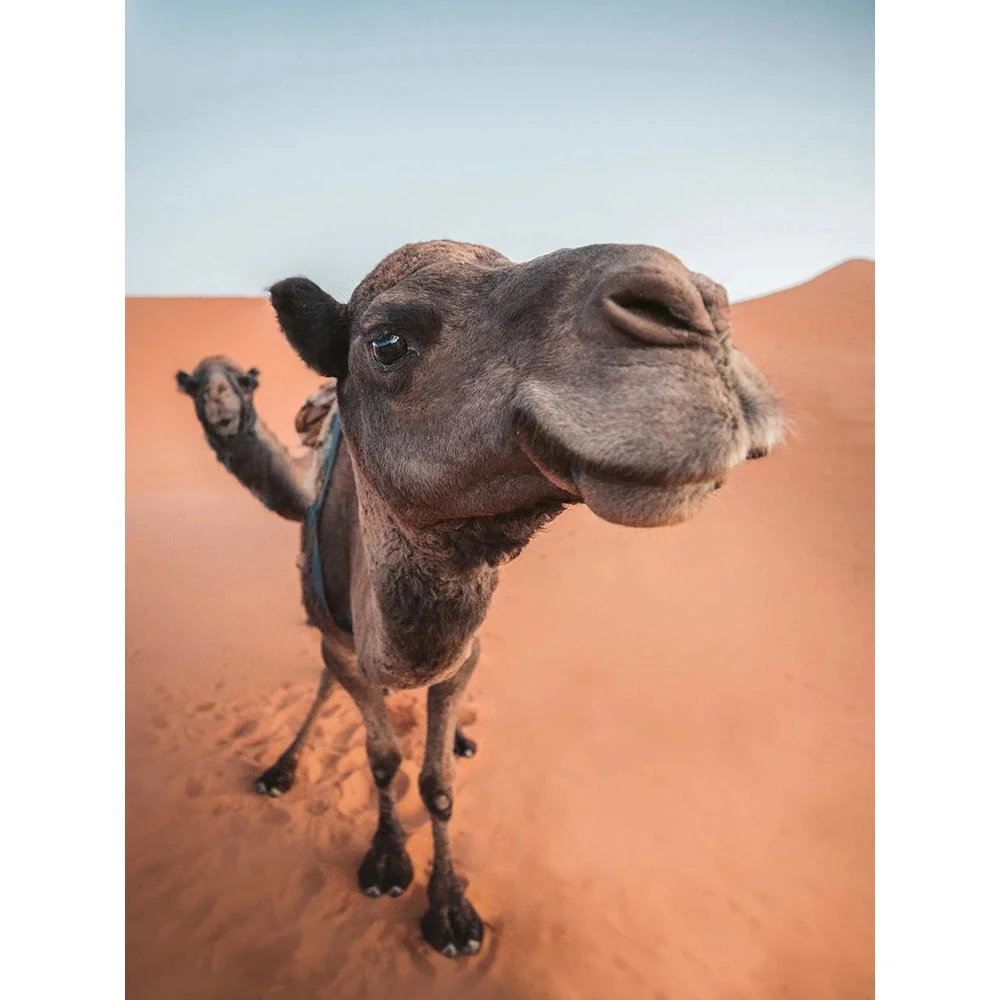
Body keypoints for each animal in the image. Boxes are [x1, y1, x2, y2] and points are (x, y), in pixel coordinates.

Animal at [175, 239, 784, 957]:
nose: (698, 310)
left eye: (241, 385)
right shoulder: (344, 644)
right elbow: (381, 759)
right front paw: (386, 860)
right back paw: (282, 767)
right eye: (387, 342)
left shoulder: (460, 654)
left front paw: (451, 911)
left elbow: (438, 784)